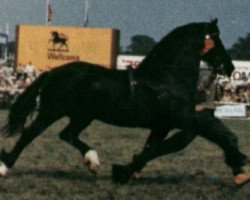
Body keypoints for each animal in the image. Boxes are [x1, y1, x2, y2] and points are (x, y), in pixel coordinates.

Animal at [0, 19, 248, 185]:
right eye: (216, 38)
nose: (230, 67)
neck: (164, 80)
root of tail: (52, 72)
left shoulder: (163, 125)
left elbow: (154, 147)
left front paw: (126, 170)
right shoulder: (182, 120)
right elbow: (204, 137)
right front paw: (239, 162)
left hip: (83, 116)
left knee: (67, 134)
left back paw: (93, 161)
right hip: (52, 111)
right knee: (29, 134)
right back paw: (5, 165)